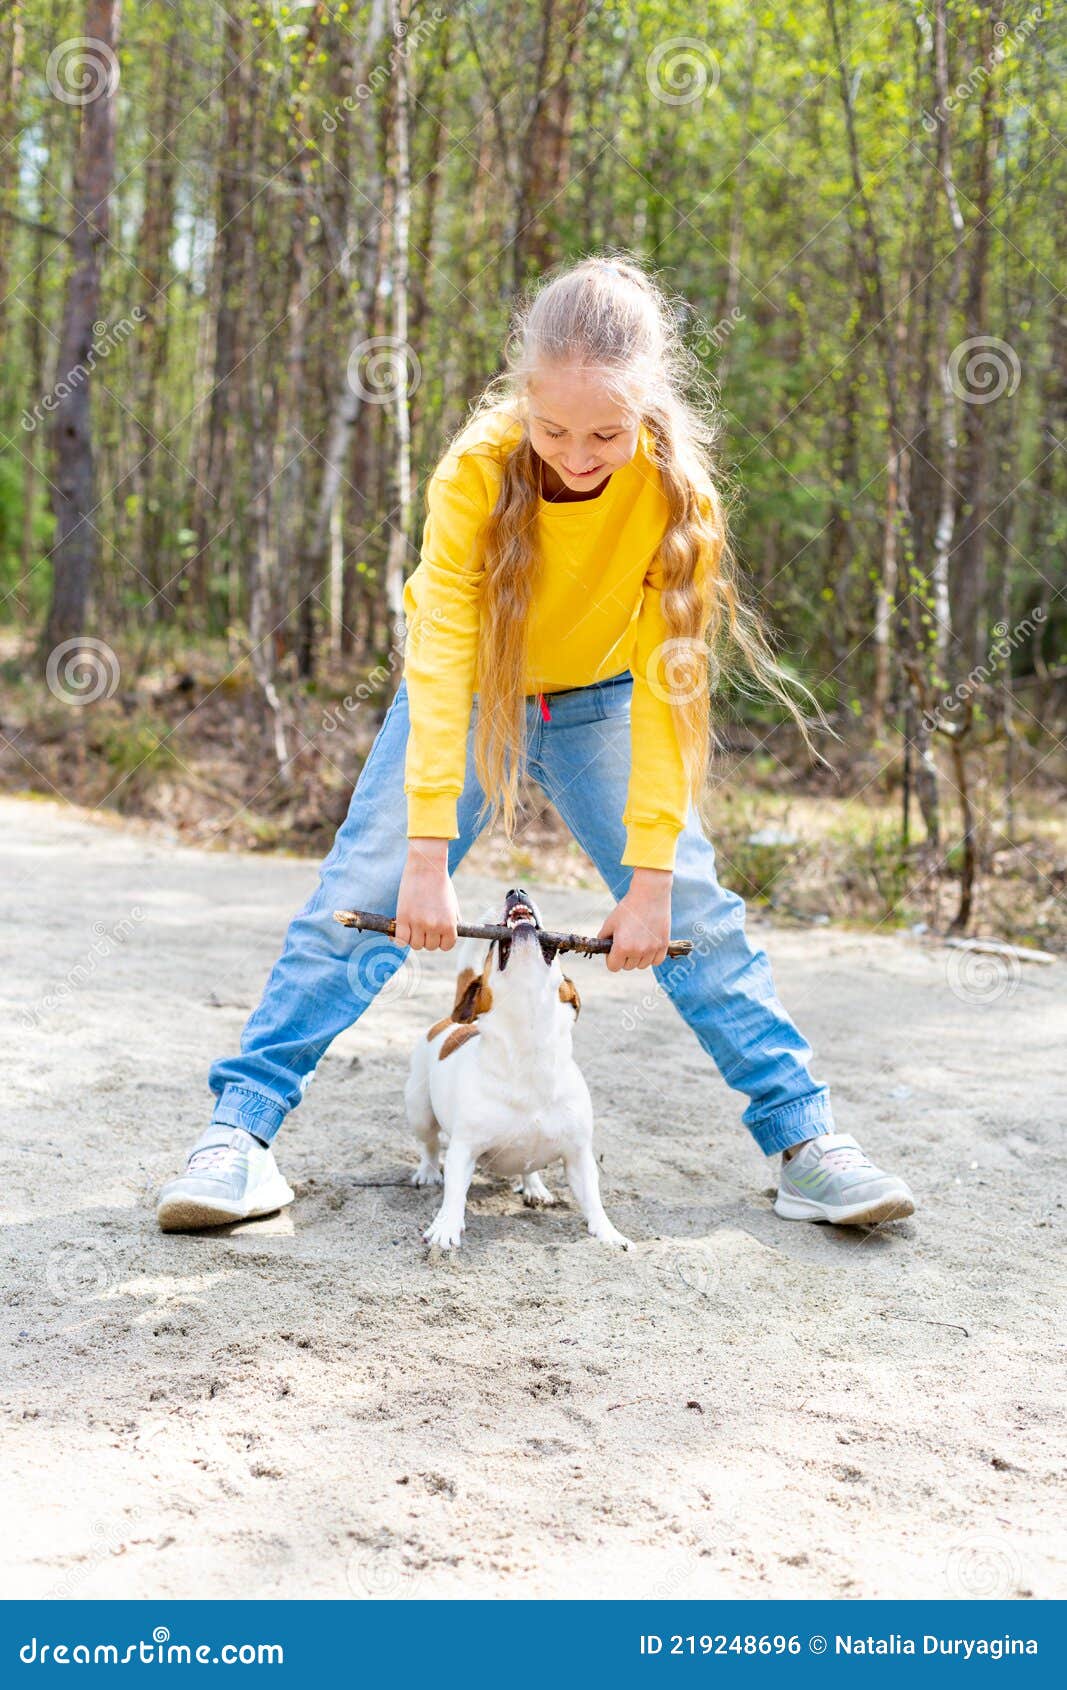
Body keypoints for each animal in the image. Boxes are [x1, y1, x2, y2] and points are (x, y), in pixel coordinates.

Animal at [404, 892, 629, 1250]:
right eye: (492, 946)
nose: (517, 891)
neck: (529, 1049)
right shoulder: (464, 1150)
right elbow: (454, 1194)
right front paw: (445, 1228)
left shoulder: (579, 1155)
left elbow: (593, 1199)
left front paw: (609, 1233)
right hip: (419, 1112)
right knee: (429, 1146)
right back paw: (427, 1172)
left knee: (530, 1167)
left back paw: (534, 1186)